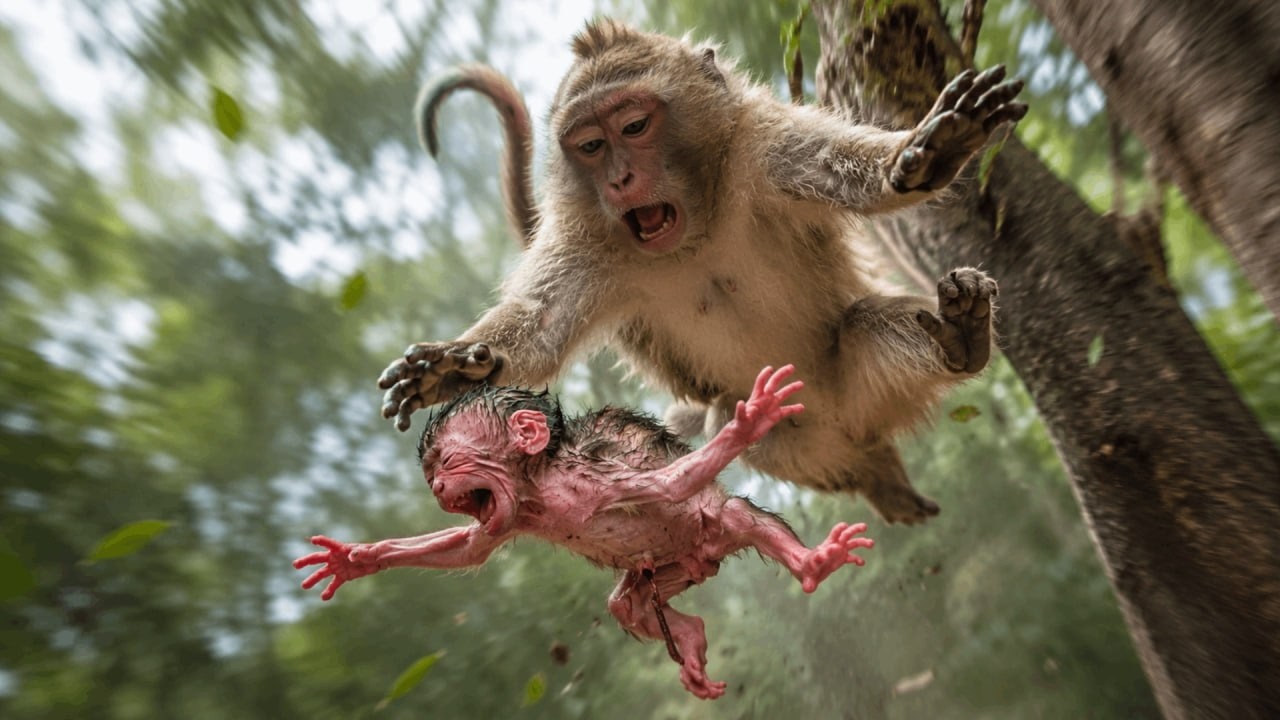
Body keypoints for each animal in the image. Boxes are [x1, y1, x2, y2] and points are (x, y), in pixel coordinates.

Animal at [295, 365, 875, 700]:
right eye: (431, 470)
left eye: (450, 461)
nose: (438, 485)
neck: (541, 483)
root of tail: (701, 558)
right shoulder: (511, 514)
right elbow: (468, 549)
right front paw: (355, 558)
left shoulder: (598, 478)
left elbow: (670, 485)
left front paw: (749, 419)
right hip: (669, 571)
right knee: (626, 605)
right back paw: (689, 638)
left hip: (713, 528)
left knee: (739, 517)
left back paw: (813, 562)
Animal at [379, 19, 1027, 524]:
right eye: (590, 145)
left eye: (633, 126)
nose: (620, 180)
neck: (693, 234)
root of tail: (856, 436)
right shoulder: (589, 241)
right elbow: (540, 331)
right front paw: (454, 370)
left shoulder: (762, 149)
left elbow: (852, 178)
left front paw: (925, 156)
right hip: (788, 431)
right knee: (740, 423)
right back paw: (877, 477)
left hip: (859, 391)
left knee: (865, 327)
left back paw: (960, 341)